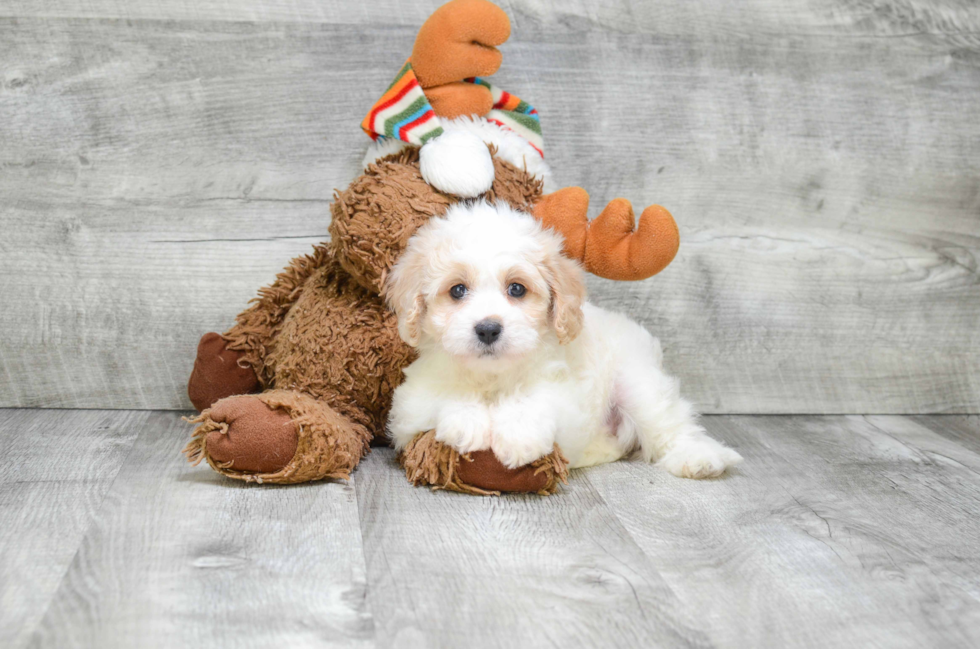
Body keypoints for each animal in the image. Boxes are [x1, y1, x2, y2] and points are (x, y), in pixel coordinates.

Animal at [382, 200, 744, 478]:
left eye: (517, 289)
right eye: (457, 290)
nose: (487, 329)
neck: (493, 378)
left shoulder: (566, 395)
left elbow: (536, 401)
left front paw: (517, 437)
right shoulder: (410, 406)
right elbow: (445, 397)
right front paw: (467, 424)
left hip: (638, 383)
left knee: (668, 423)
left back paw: (699, 458)